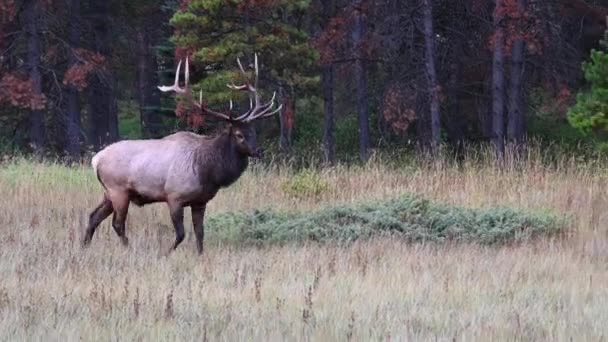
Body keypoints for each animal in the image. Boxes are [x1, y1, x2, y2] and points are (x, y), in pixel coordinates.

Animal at [83, 54, 282, 254]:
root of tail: (95, 160)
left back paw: (84, 245)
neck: (208, 172)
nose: (258, 151)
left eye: (254, 132)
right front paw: (166, 253)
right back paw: (128, 248)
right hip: (118, 190)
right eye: (239, 135)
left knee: (93, 216)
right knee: (117, 224)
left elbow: (200, 233)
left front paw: (200, 255)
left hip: (108, 193)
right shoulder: (174, 196)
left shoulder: (200, 202)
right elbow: (181, 234)